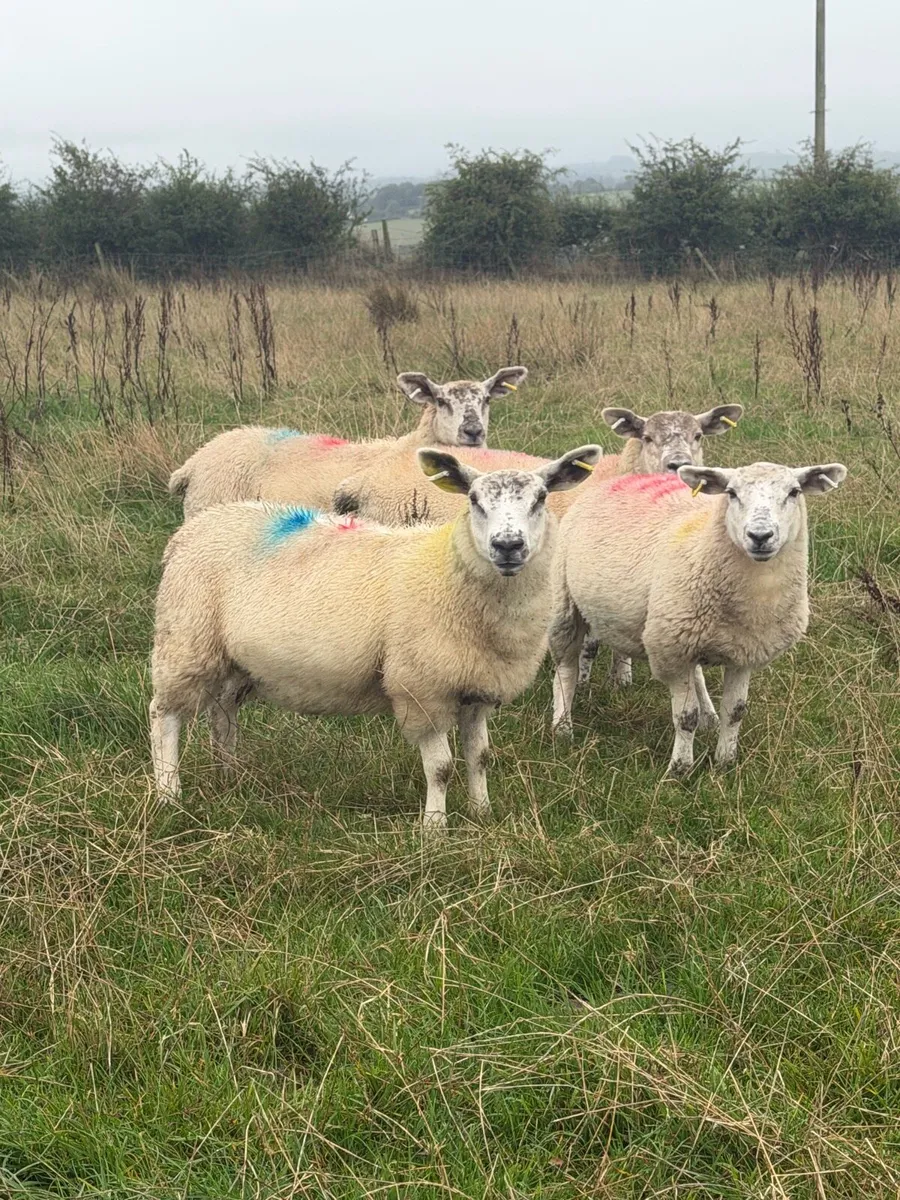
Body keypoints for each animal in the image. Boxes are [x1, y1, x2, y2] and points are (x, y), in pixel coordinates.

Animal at [150, 442, 601, 831]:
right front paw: (434, 829)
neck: (447, 573)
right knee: (164, 714)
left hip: (233, 659)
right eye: (473, 499)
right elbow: (441, 768)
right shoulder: (422, 688)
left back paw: (231, 774)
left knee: (222, 711)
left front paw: (482, 813)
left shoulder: (476, 687)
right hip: (187, 638)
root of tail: (193, 529)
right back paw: (169, 794)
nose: (508, 545)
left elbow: (480, 757)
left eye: (540, 498)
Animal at [549, 460, 847, 775]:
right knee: (565, 670)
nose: (760, 536)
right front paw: (680, 769)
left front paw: (726, 761)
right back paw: (563, 726)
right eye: (731, 493)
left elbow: (735, 712)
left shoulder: (744, 652)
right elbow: (685, 716)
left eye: (794, 492)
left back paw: (709, 716)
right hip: (564, 604)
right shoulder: (672, 651)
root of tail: (622, 478)